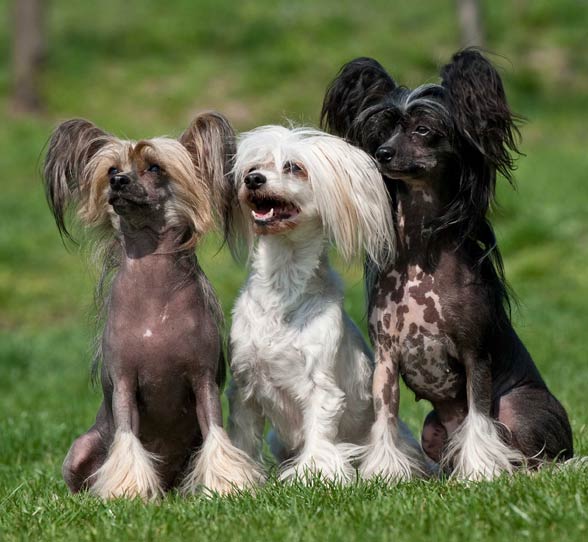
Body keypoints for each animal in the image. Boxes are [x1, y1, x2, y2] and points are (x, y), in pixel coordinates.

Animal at [45, 111, 264, 502]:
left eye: (155, 167)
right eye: (112, 169)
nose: (118, 181)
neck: (154, 297)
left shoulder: (203, 380)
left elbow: (216, 435)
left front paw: (226, 486)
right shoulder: (123, 383)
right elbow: (126, 440)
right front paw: (126, 492)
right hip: (82, 448)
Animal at [225, 126, 428, 484]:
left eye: (294, 167)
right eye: (253, 167)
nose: (254, 180)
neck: (282, 290)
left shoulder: (321, 385)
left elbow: (319, 433)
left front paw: (313, 473)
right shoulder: (244, 384)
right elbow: (243, 438)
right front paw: (241, 478)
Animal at [322, 49, 576, 482]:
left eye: (424, 130)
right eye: (383, 130)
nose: (382, 154)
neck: (419, 256)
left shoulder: (475, 357)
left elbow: (478, 422)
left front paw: (481, 473)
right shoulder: (385, 361)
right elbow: (385, 421)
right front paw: (386, 475)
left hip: (520, 410)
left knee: (539, 458)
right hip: (431, 429)